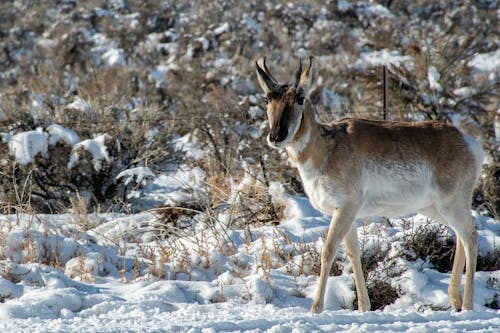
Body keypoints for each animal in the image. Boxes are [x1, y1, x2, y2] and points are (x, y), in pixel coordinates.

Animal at [256, 55, 482, 312]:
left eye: (300, 98)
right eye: (267, 98)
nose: (276, 136)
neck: (326, 149)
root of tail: (469, 142)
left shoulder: (346, 208)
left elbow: (328, 251)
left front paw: (316, 308)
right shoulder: (347, 213)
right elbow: (353, 252)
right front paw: (364, 307)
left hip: (451, 204)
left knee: (471, 236)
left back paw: (467, 305)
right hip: (434, 208)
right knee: (461, 236)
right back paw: (455, 300)